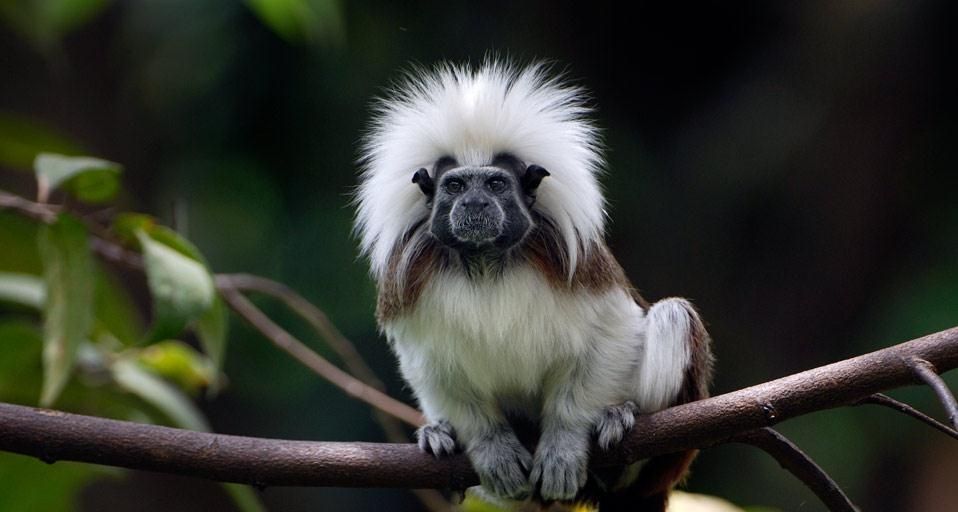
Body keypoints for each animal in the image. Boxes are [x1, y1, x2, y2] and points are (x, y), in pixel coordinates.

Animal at [356, 62, 716, 510]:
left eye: (495, 185)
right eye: (455, 186)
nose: (474, 204)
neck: (487, 262)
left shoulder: (578, 265)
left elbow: (613, 330)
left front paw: (565, 442)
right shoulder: (409, 282)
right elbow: (429, 363)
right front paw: (490, 446)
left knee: (673, 315)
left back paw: (623, 435)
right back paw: (439, 434)